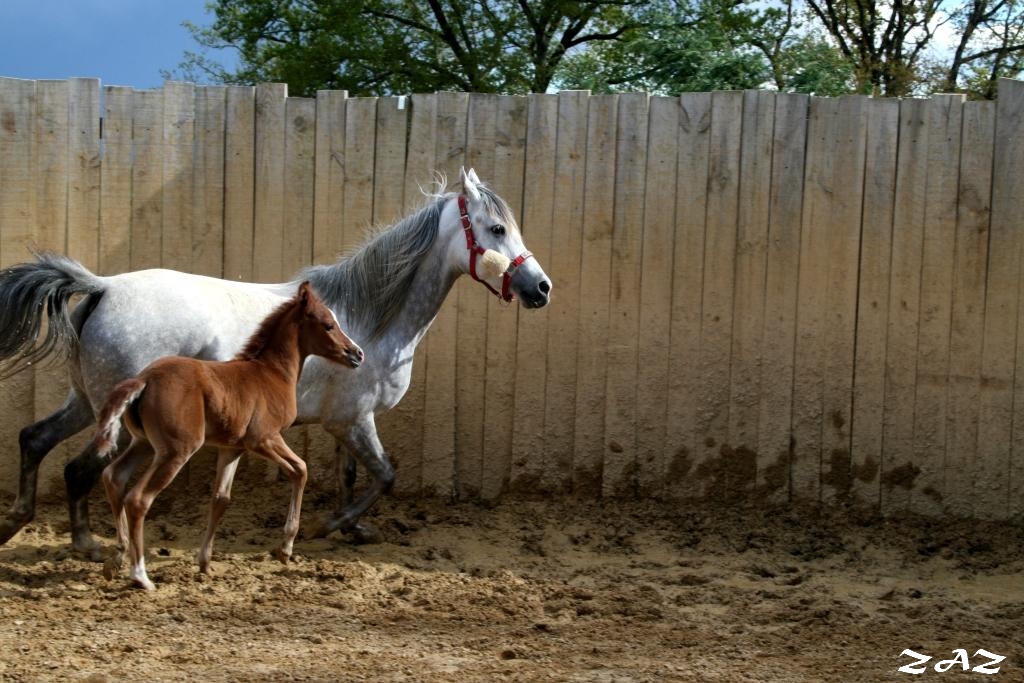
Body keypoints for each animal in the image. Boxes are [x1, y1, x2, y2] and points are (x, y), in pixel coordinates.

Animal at [0, 167, 552, 557]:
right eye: (497, 228)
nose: (541, 288)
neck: (369, 318)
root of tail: (103, 288)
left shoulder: (344, 423)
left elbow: (352, 477)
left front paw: (354, 529)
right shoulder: (355, 420)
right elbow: (384, 475)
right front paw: (327, 526)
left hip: (86, 401)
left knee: (36, 440)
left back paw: (21, 522)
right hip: (117, 420)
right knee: (80, 469)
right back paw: (86, 545)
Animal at [92, 280, 364, 589]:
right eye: (328, 325)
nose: (357, 353)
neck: (271, 373)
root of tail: (144, 379)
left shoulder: (232, 448)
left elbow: (221, 498)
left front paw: (205, 563)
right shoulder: (264, 438)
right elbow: (300, 469)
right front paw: (285, 549)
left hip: (144, 444)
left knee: (114, 476)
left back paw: (116, 558)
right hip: (177, 450)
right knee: (138, 499)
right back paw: (140, 576)